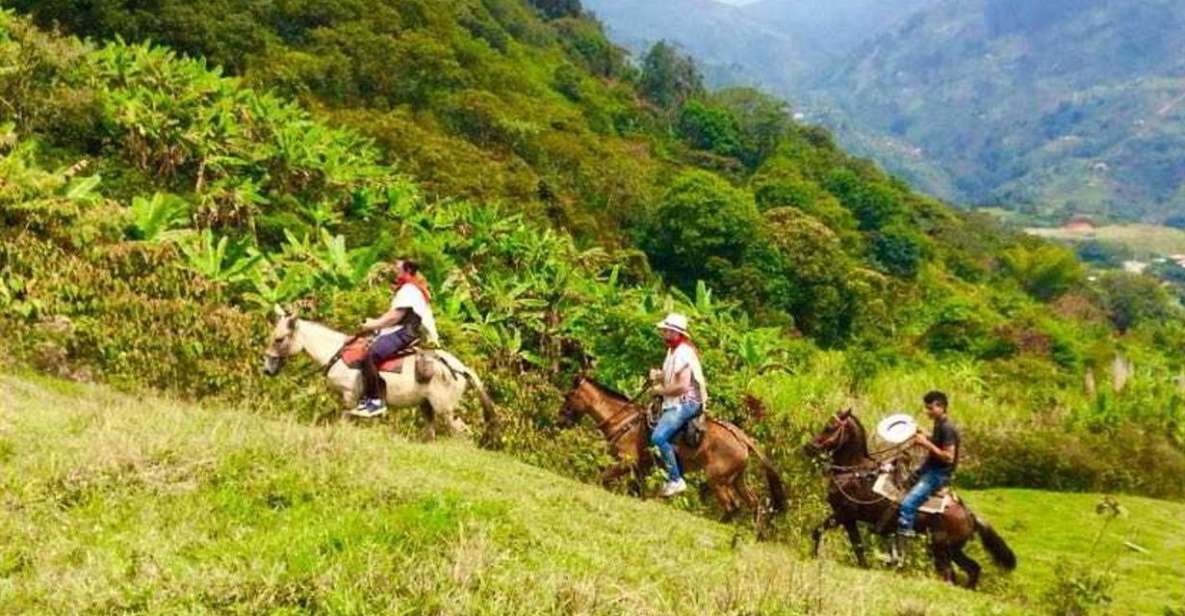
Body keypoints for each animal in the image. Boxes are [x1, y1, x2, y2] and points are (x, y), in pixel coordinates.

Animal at [260, 305, 495, 440]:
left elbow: (344, 419)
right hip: (427, 405)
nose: (267, 369)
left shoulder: (350, 396)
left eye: (279, 339)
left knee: (461, 432)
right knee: (432, 432)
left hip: (444, 408)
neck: (336, 354)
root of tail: (460, 368)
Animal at [556, 376, 786, 530]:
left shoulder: (627, 462)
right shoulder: (642, 467)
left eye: (569, 396)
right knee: (755, 504)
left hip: (718, 480)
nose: (560, 421)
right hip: (737, 479)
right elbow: (635, 491)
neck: (623, 420)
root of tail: (742, 438)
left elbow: (602, 477)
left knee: (733, 505)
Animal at [805, 409, 1019, 587]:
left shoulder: (843, 514)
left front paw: (813, 556)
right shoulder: (849, 519)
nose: (808, 447)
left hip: (940, 548)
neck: (854, 471)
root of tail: (970, 516)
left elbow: (818, 532)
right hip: (954, 550)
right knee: (973, 568)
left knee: (949, 574)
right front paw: (863, 566)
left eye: (829, 426)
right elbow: (857, 546)